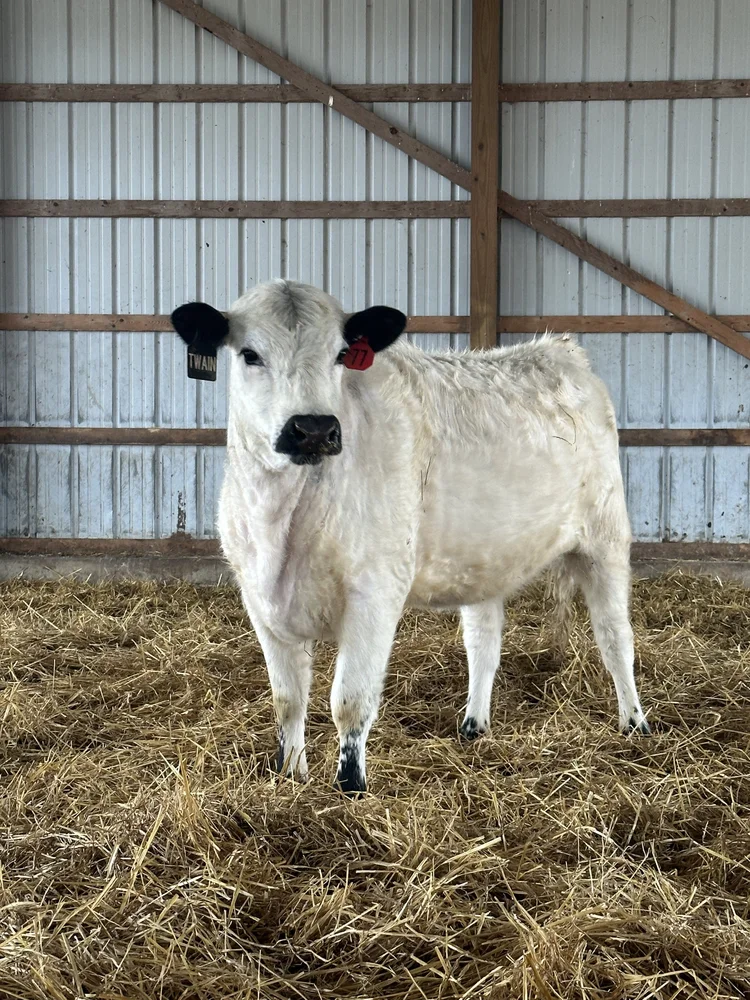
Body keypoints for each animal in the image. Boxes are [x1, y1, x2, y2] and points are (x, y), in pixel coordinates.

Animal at [171, 280, 650, 795]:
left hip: (605, 537)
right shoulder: (261, 601)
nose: (314, 429)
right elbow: (287, 700)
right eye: (249, 354)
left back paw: (635, 723)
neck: (283, 523)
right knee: (484, 640)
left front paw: (350, 787)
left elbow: (350, 702)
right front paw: (289, 775)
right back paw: (474, 725)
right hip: (483, 555)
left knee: (615, 637)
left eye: (341, 353)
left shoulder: (376, 593)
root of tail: (558, 349)